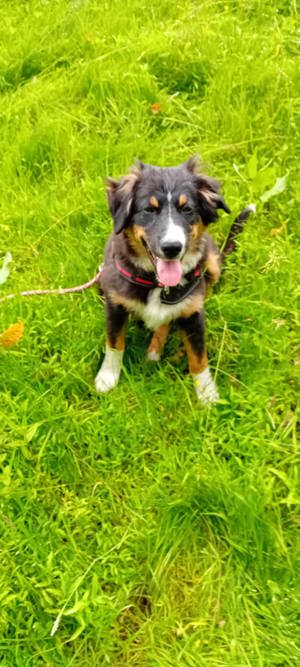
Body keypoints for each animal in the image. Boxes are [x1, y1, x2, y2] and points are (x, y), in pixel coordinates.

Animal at [96, 159, 246, 404]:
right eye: (149, 209)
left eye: (187, 209)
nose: (172, 248)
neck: (158, 285)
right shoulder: (115, 305)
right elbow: (114, 344)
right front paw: (107, 377)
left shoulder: (194, 314)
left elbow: (199, 357)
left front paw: (207, 394)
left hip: (212, 262)